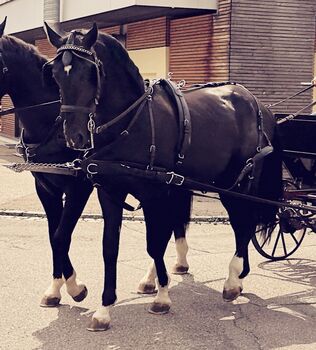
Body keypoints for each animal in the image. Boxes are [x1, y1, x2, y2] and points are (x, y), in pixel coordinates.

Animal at [0, 19, 92, 306]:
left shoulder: (79, 187)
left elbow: (63, 234)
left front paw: (74, 287)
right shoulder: (45, 187)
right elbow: (54, 235)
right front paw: (56, 287)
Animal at [43, 23, 282, 330]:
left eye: (90, 72)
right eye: (55, 75)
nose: (75, 137)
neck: (131, 121)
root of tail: (259, 105)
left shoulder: (154, 192)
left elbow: (154, 242)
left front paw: (163, 298)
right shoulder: (111, 191)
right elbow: (111, 247)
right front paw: (105, 308)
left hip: (238, 183)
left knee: (243, 223)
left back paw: (232, 279)